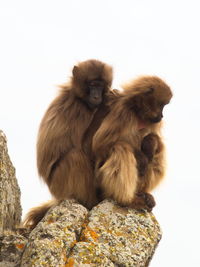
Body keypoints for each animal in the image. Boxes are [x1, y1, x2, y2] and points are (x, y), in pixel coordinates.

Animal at [23, 60, 114, 228]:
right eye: (92, 84)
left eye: (100, 85)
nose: (97, 96)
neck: (80, 98)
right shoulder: (77, 110)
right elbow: (85, 148)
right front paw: (106, 105)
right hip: (60, 185)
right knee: (75, 157)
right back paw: (90, 203)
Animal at [92, 76, 172, 213]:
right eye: (162, 104)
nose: (161, 116)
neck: (138, 112)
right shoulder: (122, 111)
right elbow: (100, 144)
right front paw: (141, 157)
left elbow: (156, 139)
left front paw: (150, 143)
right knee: (121, 148)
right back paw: (127, 199)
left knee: (158, 151)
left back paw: (143, 193)